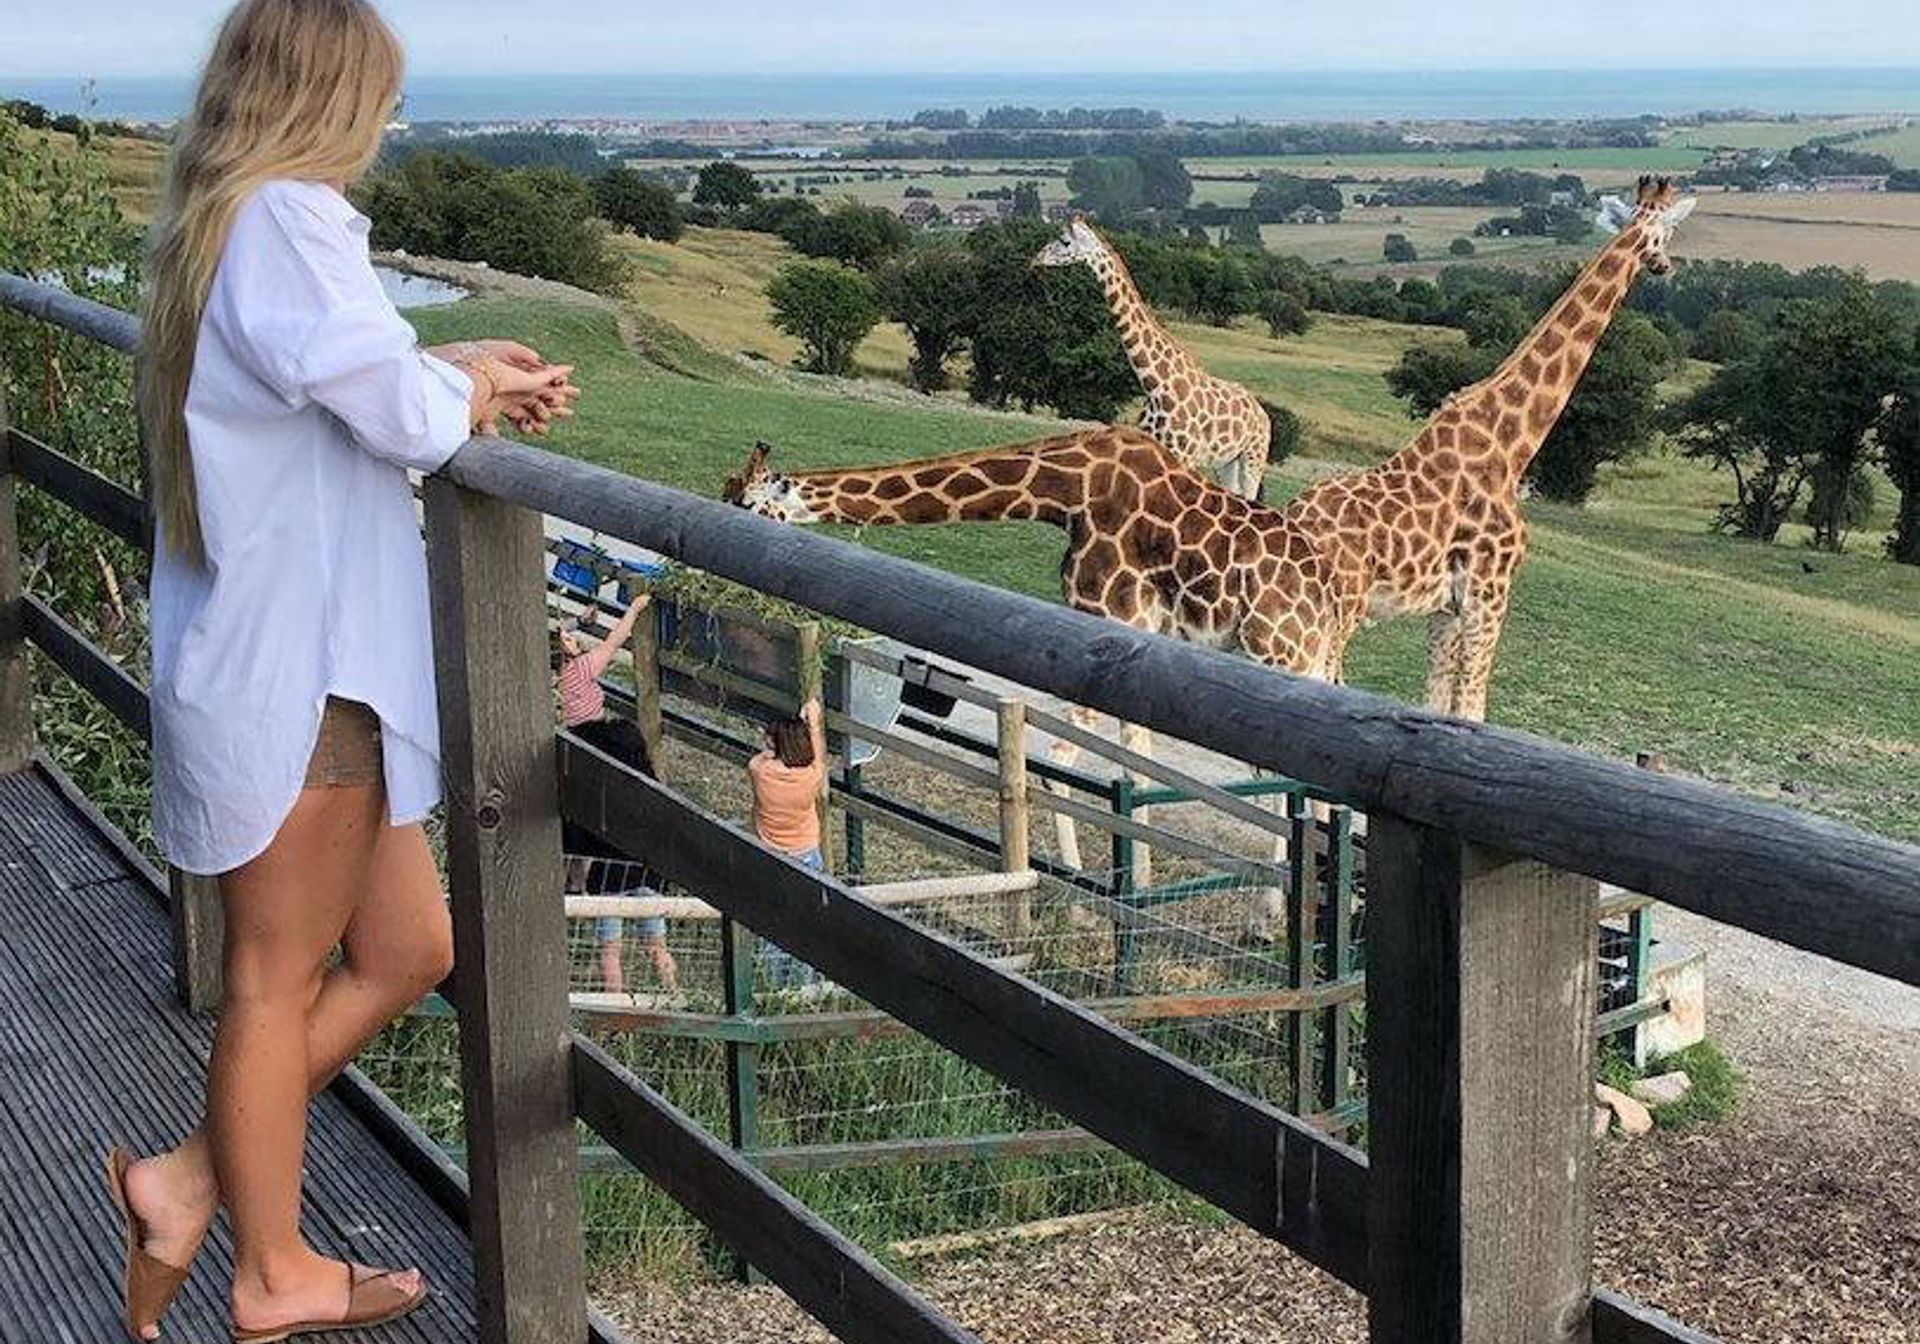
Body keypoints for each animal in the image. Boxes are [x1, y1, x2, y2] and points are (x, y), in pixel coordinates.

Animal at [1034, 217, 1275, 501]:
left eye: (1065, 241)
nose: (1036, 259)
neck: (1156, 384)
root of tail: (1263, 415)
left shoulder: (1186, 456)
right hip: (1227, 463)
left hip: (1253, 458)